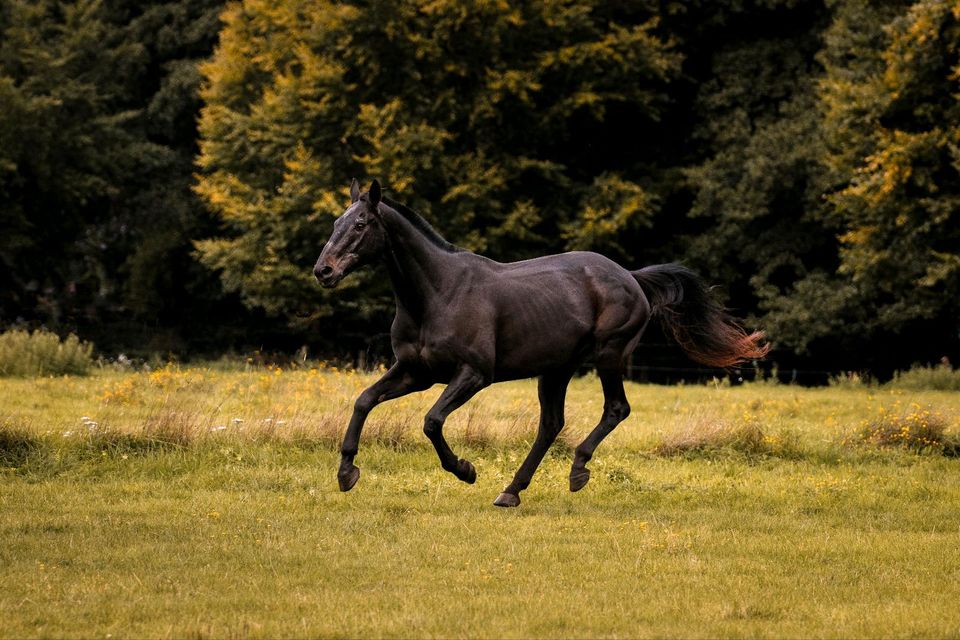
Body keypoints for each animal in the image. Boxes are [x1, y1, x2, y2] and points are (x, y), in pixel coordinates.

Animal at [316, 179, 772, 504]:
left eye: (360, 225)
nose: (323, 271)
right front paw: (346, 473)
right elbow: (363, 401)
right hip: (556, 370)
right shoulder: (416, 372)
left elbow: (431, 421)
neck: (438, 293)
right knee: (552, 423)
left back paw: (577, 472)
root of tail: (631, 277)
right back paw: (510, 492)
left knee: (616, 409)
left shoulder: (473, 374)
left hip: (608, 355)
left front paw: (466, 470)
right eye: (335, 224)